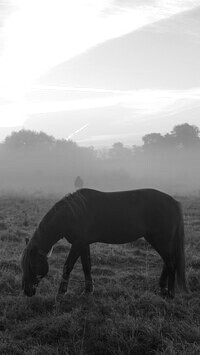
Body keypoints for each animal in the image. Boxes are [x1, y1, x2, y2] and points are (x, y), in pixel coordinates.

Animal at [20, 189, 188, 300]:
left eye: (30, 265)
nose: (26, 291)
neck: (72, 214)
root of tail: (173, 202)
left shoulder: (78, 243)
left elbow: (68, 266)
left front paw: (61, 292)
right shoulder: (83, 243)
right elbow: (86, 266)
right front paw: (88, 290)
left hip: (161, 239)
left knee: (171, 263)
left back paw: (170, 294)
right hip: (155, 239)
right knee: (167, 261)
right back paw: (162, 287)